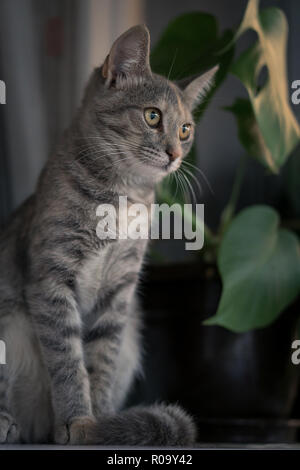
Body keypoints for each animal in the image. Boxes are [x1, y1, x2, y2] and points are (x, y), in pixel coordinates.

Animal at [0, 24, 217, 444]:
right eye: (152, 116)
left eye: (185, 129)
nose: (175, 153)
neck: (122, 197)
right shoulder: (51, 279)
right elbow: (68, 361)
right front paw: (78, 420)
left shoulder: (120, 293)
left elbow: (101, 360)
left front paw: (100, 422)